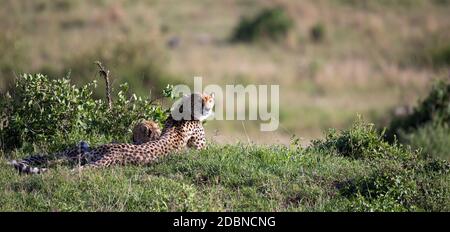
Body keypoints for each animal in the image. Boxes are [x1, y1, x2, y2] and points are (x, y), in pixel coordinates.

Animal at [8, 92, 215, 174]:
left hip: (85, 152)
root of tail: (111, 151)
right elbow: (208, 151)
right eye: (202, 100)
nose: (208, 106)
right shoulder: (201, 148)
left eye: (209, 100)